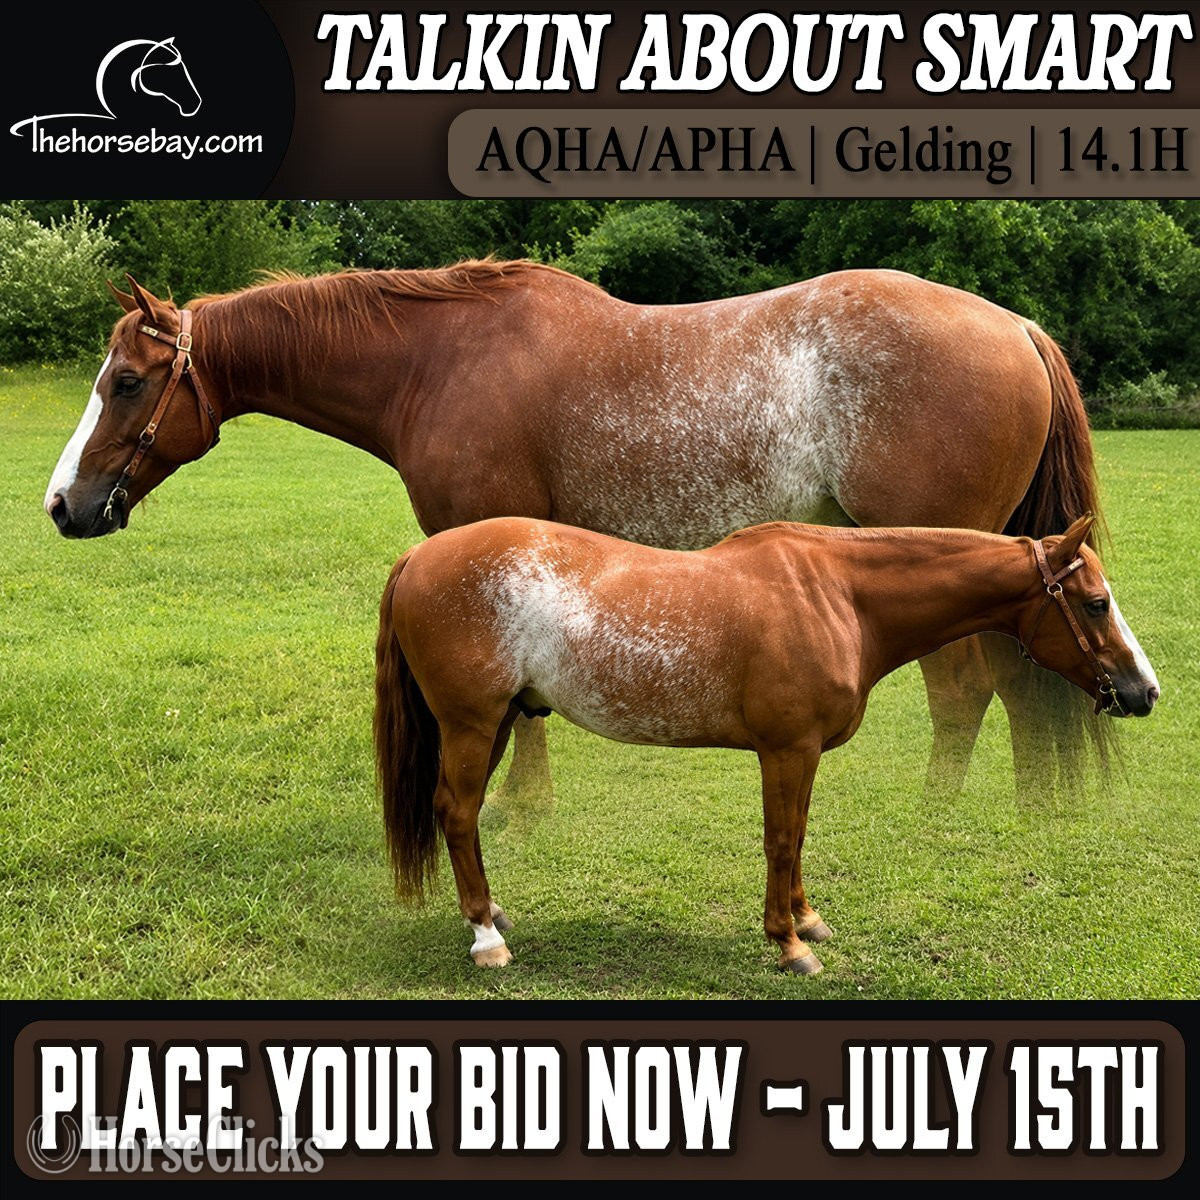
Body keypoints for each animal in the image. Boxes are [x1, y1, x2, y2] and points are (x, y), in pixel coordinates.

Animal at [45, 261, 1109, 804]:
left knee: (965, 692)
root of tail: (1015, 325)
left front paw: (518, 807)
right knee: (1023, 687)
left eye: (126, 382)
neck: (439, 360)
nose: (62, 505)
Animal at [374, 514, 1158, 974]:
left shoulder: (799, 756)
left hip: (500, 721)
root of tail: (418, 556)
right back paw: (487, 938)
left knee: (461, 817)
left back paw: (494, 915)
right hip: (472, 724)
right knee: (458, 814)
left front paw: (807, 921)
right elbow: (781, 838)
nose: (1143, 691)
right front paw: (787, 942)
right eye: (1096, 603)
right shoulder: (788, 750)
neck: (837, 594)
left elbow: (800, 834)